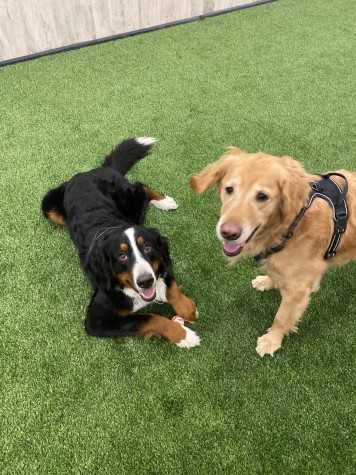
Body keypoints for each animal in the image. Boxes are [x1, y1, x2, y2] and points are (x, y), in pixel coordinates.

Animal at [41, 138, 200, 350]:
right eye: (122, 256)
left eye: (147, 248)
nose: (146, 281)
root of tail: (90, 172)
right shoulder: (97, 320)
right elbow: (151, 318)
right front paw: (183, 335)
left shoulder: (162, 260)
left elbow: (170, 285)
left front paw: (187, 308)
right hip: (49, 206)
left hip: (131, 204)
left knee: (140, 187)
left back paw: (164, 201)